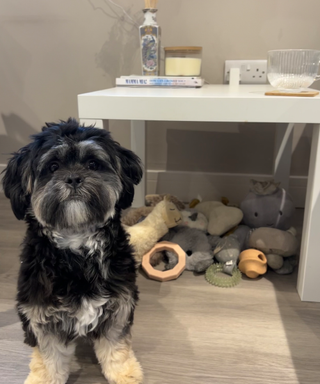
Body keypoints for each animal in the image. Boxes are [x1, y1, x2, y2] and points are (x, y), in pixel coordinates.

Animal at [1, 119, 144, 384]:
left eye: (93, 164)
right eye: (53, 166)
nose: (74, 178)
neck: (77, 251)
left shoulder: (118, 305)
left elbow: (116, 346)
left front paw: (124, 373)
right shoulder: (41, 314)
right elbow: (49, 358)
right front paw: (44, 378)